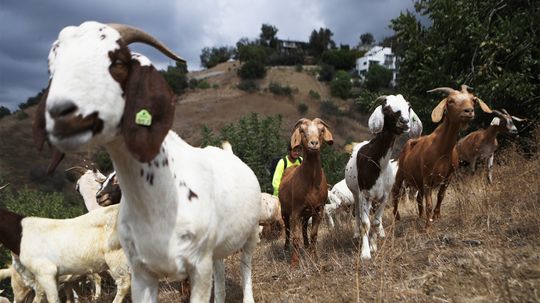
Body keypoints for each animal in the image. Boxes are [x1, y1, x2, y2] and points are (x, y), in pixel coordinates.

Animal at [33, 20, 262, 302]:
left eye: (118, 62)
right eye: (52, 69)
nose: (61, 113)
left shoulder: (198, 266)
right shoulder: (142, 273)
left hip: (250, 233)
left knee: (246, 266)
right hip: (216, 249)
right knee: (220, 268)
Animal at [278, 119, 334, 268]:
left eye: (321, 130)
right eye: (302, 130)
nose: (314, 143)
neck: (311, 183)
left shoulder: (319, 209)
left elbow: (314, 234)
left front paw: (314, 258)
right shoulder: (296, 210)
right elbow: (295, 236)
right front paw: (294, 263)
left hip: (308, 212)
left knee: (304, 228)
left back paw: (307, 245)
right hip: (285, 210)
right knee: (287, 229)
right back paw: (286, 248)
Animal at [346, 94, 422, 258]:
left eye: (408, 106)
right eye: (387, 108)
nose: (404, 122)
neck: (378, 163)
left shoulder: (384, 196)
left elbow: (375, 222)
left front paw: (374, 245)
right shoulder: (365, 194)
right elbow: (365, 223)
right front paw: (365, 253)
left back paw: (379, 234)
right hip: (356, 193)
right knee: (358, 213)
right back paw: (356, 234)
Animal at [390, 85, 492, 230]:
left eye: (473, 100)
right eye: (450, 101)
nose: (468, 111)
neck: (442, 149)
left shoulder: (448, 176)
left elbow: (440, 196)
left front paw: (437, 216)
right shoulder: (427, 177)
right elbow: (429, 204)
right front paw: (427, 227)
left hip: (418, 181)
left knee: (418, 197)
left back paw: (420, 216)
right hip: (401, 173)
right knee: (396, 193)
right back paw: (396, 217)